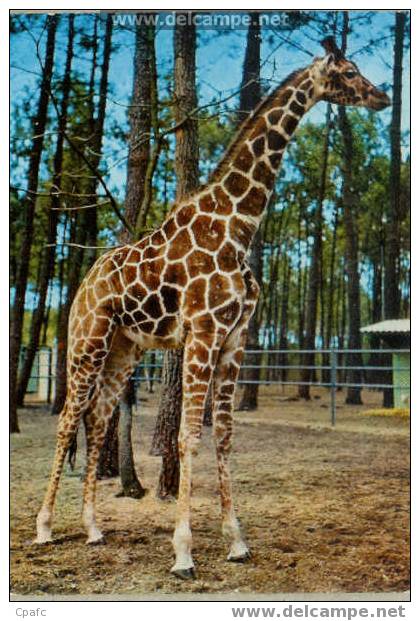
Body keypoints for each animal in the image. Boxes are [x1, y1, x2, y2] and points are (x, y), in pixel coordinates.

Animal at [36, 37, 390, 576]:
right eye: (348, 72)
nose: (383, 98)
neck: (240, 225)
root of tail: (83, 283)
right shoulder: (202, 332)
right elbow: (188, 437)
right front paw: (183, 551)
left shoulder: (236, 337)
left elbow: (222, 434)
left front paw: (236, 540)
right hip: (86, 340)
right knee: (66, 420)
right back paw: (45, 528)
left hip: (125, 348)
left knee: (96, 418)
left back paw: (94, 529)